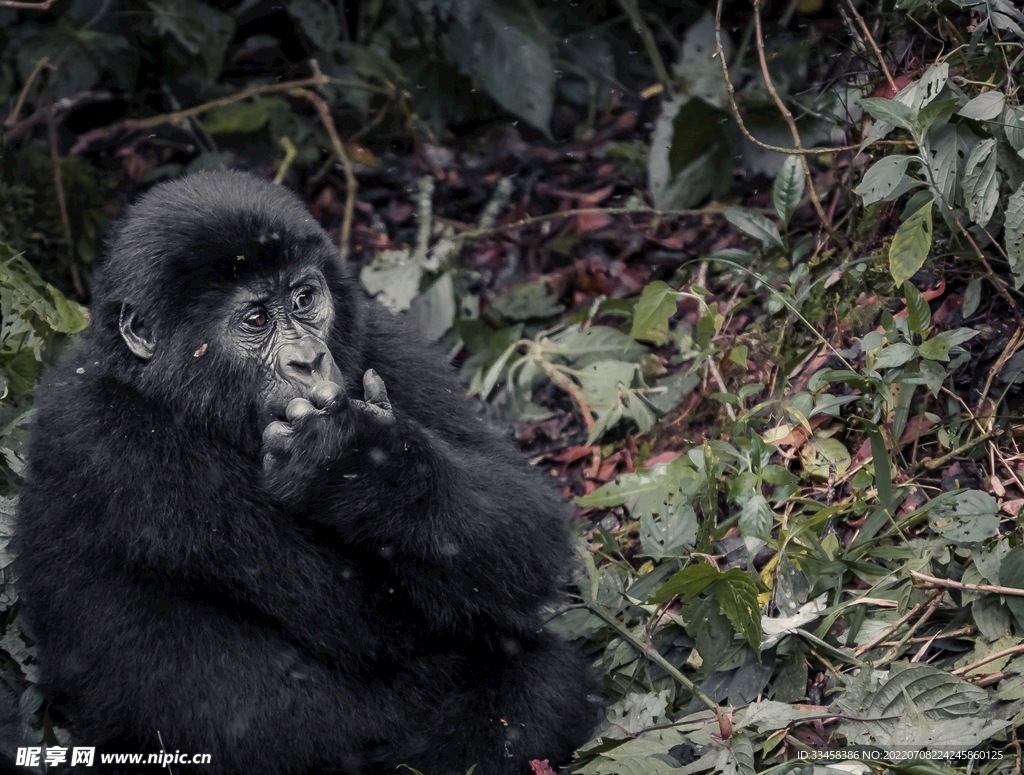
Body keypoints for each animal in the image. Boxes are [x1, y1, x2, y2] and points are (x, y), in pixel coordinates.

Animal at [9, 170, 598, 773]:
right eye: (255, 319)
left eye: (304, 298)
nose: (309, 360)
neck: (161, 391)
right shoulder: (114, 440)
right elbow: (365, 617)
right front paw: (353, 465)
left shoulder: (381, 336)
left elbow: (526, 524)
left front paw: (364, 464)